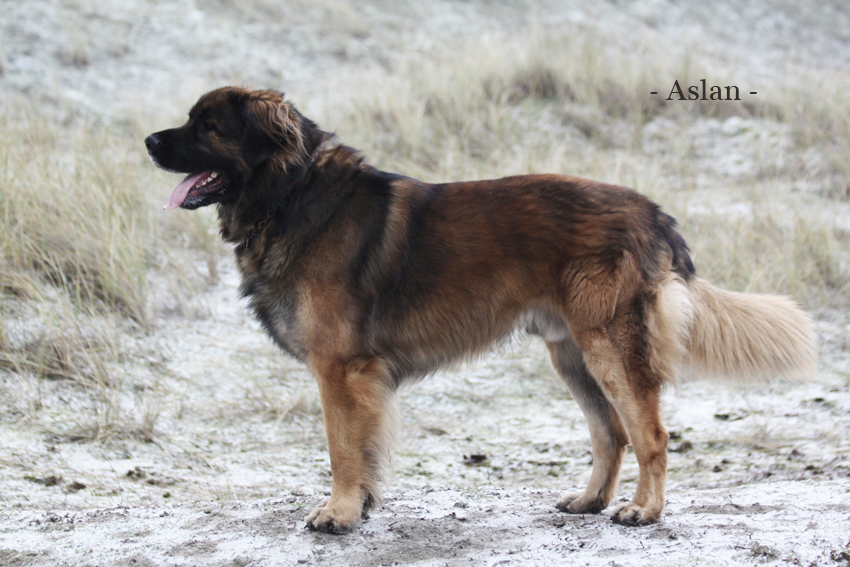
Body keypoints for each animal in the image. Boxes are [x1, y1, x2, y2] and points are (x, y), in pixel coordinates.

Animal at [144, 86, 816, 536]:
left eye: (207, 126)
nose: (148, 140)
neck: (290, 193)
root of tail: (652, 211)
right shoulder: (358, 377)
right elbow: (364, 451)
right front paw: (361, 506)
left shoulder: (340, 370)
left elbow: (341, 447)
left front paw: (338, 512)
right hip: (572, 354)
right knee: (612, 433)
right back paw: (590, 501)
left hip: (609, 346)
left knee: (650, 433)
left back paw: (643, 511)